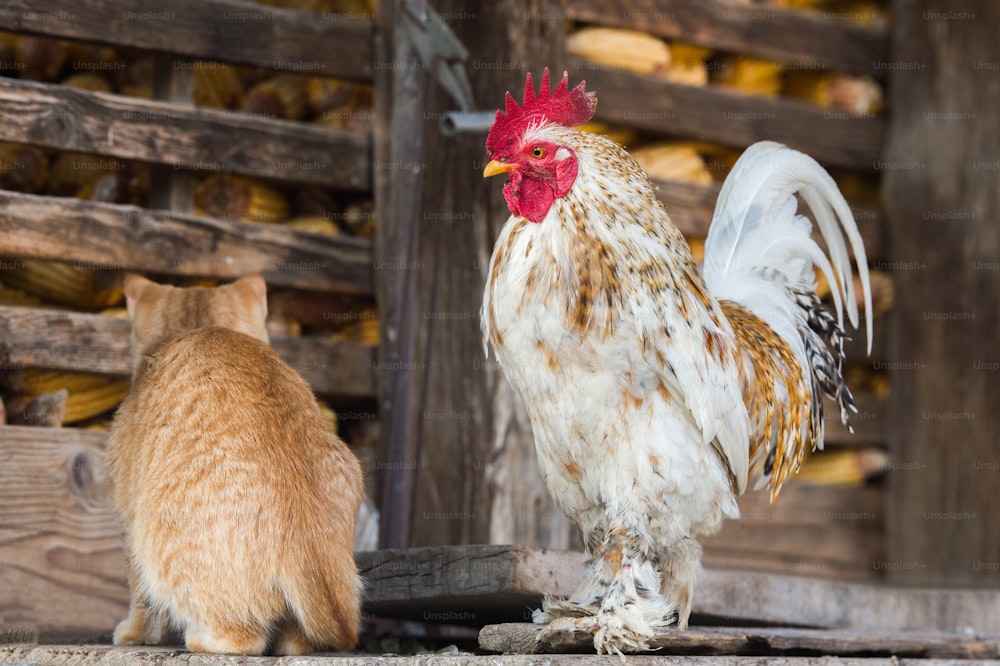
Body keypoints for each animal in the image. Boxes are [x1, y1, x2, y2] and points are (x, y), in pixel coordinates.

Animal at [107, 272, 364, 652]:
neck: (203, 327)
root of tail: (308, 542)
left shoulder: (128, 519)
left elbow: (140, 596)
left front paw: (133, 634)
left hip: (153, 539)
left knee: (244, 639)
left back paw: (197, 638)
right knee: (296, 642)